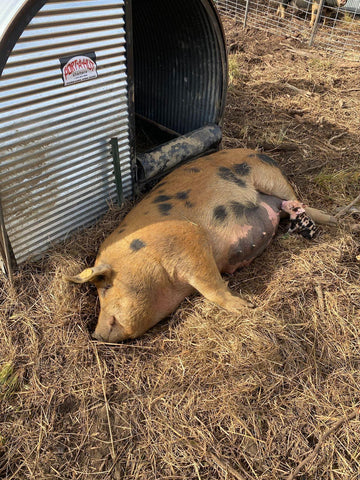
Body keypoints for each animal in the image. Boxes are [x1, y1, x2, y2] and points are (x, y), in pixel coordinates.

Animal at [66, 149, 336, 342]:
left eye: (105, 288)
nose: (95, 335)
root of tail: (260, 152)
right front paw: (246, 306)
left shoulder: (189, 237)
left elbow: (210, 285)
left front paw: (246, 307)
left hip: (270, 177)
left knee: (299, 200)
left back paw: (334, 219)